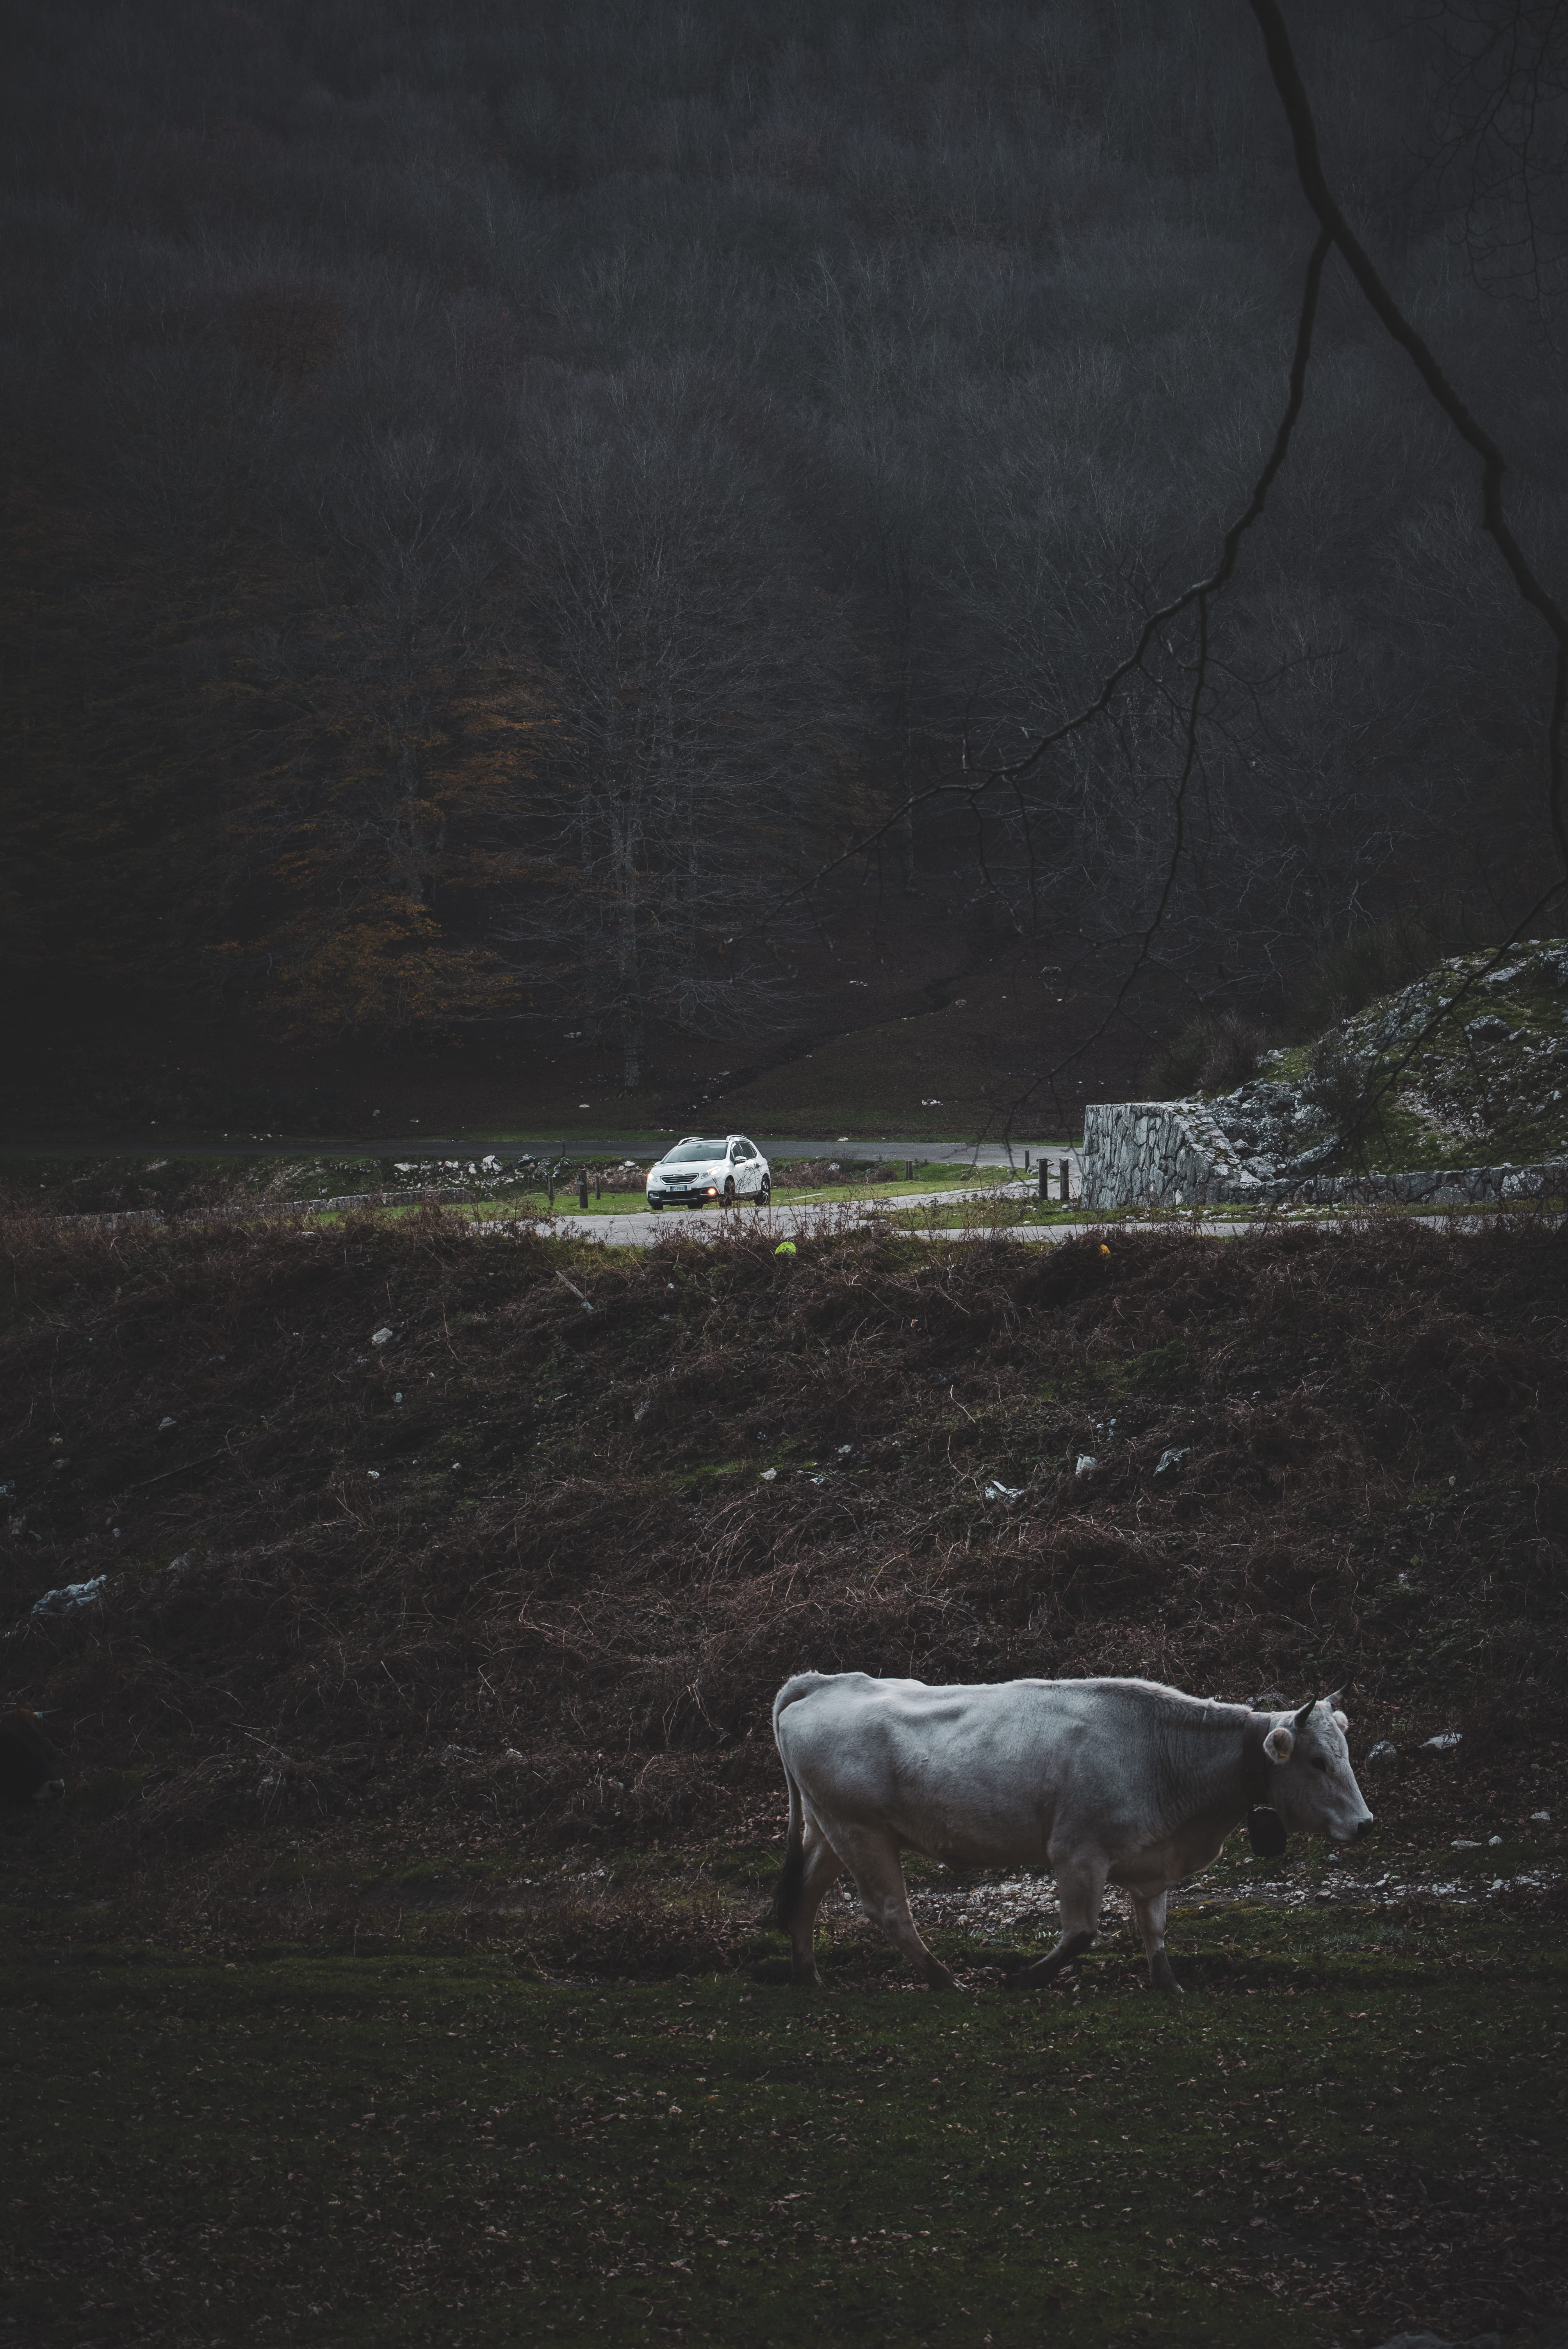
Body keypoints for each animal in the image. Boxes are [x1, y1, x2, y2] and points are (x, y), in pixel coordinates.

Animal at [771, 1672, 1371, 1993]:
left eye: (1344, 1752)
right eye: (1317, 1761)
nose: (1365, 1825)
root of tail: (824, 1682)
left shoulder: (1151, 1862)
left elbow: (1154, 1928)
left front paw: (1169, 1984)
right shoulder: (1077, 1854)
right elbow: (1081, 1933)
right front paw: (1022, 1978)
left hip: (830, 1831)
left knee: (804, 1893)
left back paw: (808, 1975)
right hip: (861, 1832)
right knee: (891, 1911)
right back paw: (945, 1980)